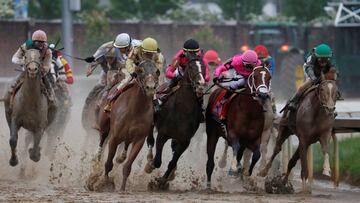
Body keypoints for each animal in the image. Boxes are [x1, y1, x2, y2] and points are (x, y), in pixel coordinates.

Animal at [87, 59, 159, 191]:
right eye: (140, 70)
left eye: (157, 71)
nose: (151, 87)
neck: (135, 109)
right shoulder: (114, 137)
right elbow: (108, 163)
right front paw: (103, 183)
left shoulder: (139, 139)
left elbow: (127, 166)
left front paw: (122, 187)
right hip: (105, 126)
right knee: (102, 140)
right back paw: (97, 157)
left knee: (124, 147)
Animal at [143, 52, 205, 189]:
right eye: (191, 67)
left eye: (203, 66)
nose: (201, 84)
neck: (183, 110)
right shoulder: (162, 134)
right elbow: (157, 161)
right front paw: (151, 166)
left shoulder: (185, 141)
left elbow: (172, 162)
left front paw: (163, 180)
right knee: (150, 140)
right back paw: (149, 161)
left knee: (173, 147)